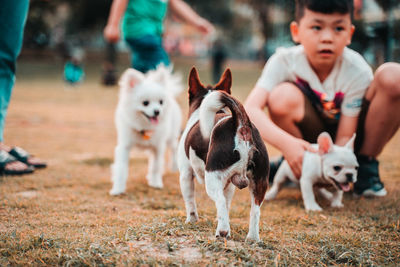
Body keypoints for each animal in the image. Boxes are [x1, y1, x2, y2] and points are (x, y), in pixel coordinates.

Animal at [110, 65, 184, 195]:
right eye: (145, 103)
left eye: (161, 102)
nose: (157, 111)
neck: (144, 128)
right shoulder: (124, 147)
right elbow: (121, 169)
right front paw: (118, 189)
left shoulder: (158, 147)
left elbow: (155, 166)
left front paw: (156, 183)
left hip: (171, 137)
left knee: (174, 148)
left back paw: (174, 166)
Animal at [177, 67, 268, 243]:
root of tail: (240, 123)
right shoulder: (230, 184)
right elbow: (226, 205)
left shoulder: (185, 174)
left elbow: (190, 201)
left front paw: (191, 220)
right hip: (259, 182)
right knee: (255, 210)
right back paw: (252, 238)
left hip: (212, 179)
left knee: (218, 200)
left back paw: (223, 231)